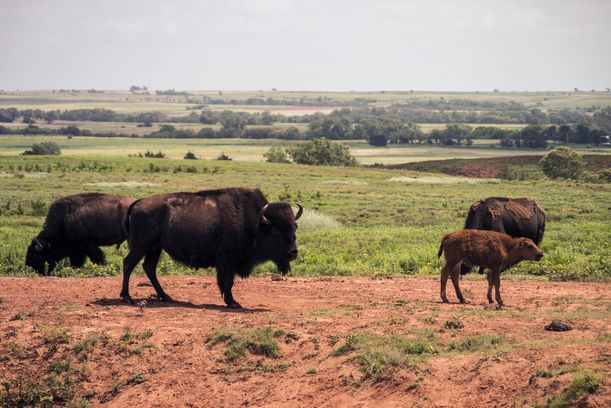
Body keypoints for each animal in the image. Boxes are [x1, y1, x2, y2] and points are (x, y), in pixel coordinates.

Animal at [120, 186, 302, 308]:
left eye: (294, 227)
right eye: (276, 230)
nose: (293, 252)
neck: (255, 222)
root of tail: (138, 203)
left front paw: (231, 301)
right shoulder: (227, 259)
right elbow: (227, 281)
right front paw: (233, 303)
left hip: (155, 248)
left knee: (149, 267)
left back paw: (166, 297)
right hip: (141, 246)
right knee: (128, 264)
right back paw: (127, 298)